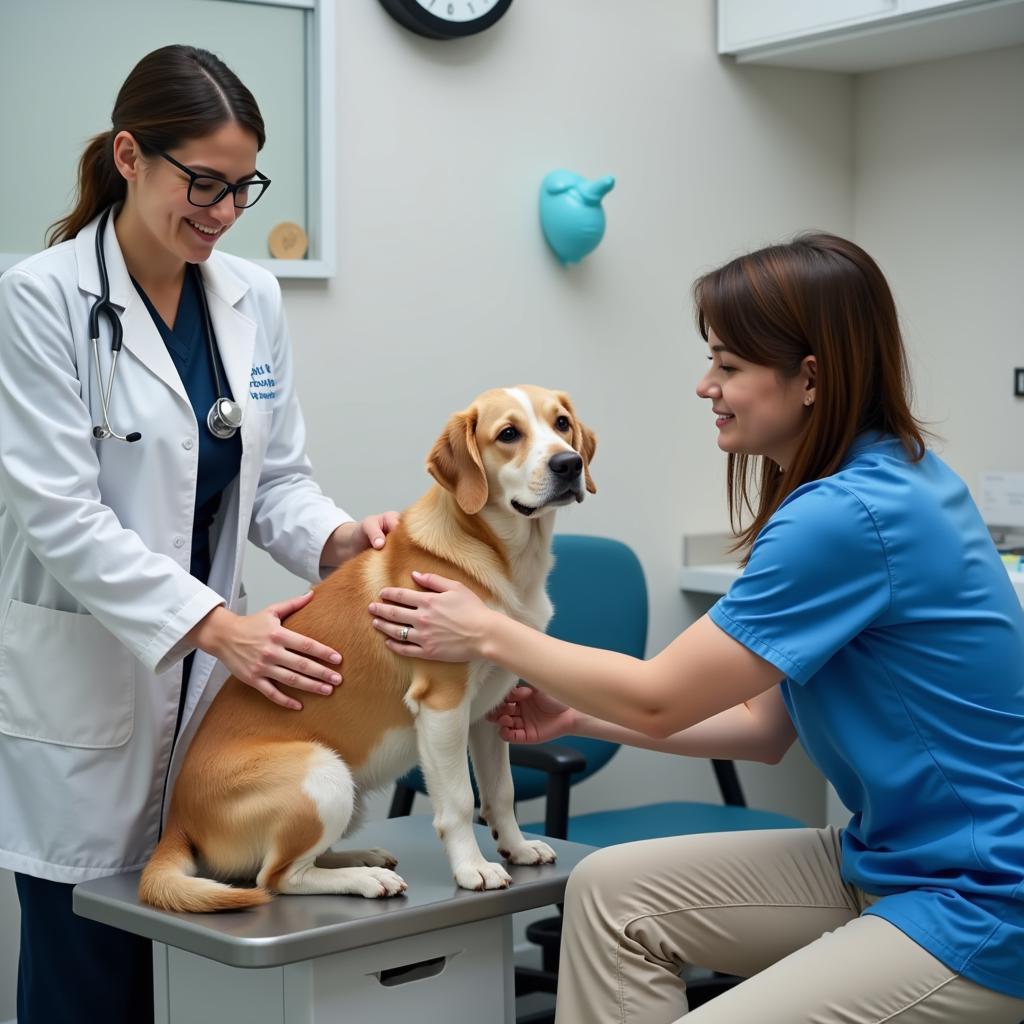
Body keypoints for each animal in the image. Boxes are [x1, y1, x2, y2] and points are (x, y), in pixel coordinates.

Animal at [140, 385, 598, 913]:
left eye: (561, 423)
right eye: (508, 434)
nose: (568, 464)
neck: (503, 558)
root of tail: (177, 823)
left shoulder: (487, 713)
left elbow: (499, 792)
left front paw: (517, 848)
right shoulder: (442, 705)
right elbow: (460, 802)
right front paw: (472, 869)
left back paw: (362, 857)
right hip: (325, 774)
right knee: (276, 877)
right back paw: (365, 878)